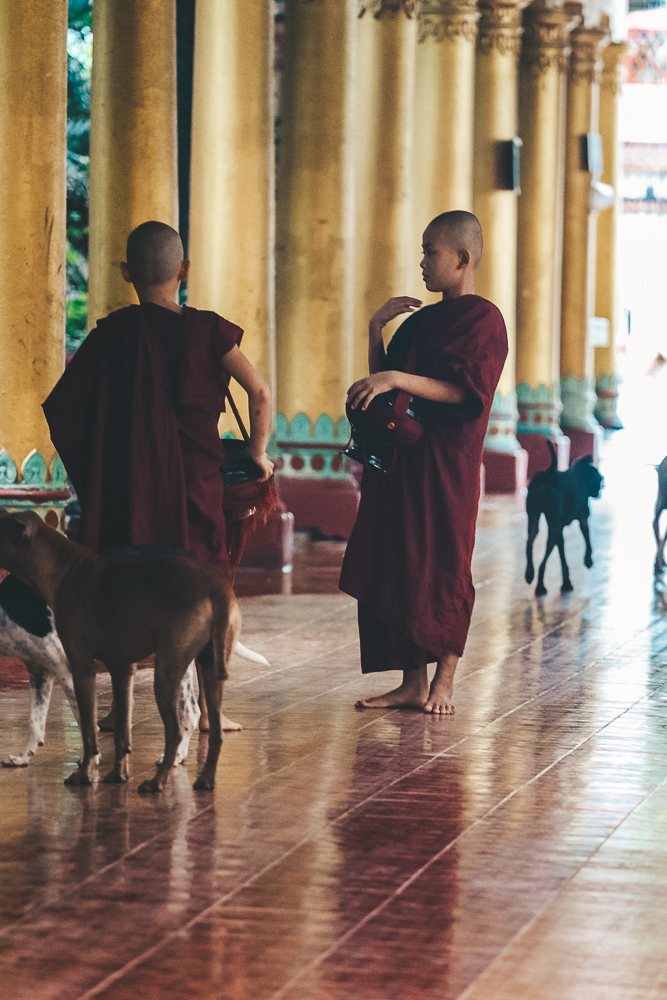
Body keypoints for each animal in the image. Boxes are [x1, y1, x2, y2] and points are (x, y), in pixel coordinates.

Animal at [0, 512, 240, 792]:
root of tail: (218, 587)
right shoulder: (108, 669)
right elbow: (114, 733)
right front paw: (116, 774)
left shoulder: (77, 668)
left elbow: (87, 728)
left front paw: (86, 770)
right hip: (206, 670)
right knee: (212, 731)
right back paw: (203, 779)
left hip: (168, 673)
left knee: (180, 725)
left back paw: (161, 776)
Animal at [528, 444, 604, 592]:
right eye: (599, 480)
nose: (600, 490)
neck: (580, 475)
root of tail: (548, 474)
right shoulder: (583, 520)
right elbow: (588, 541)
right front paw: (588, 560)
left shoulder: (559, 529)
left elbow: (562, 556)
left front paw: (566, 582)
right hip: (552, 529)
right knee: (544, 557)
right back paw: (539, 585)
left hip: (534, 519)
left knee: (529, 543)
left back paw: (529, 573)